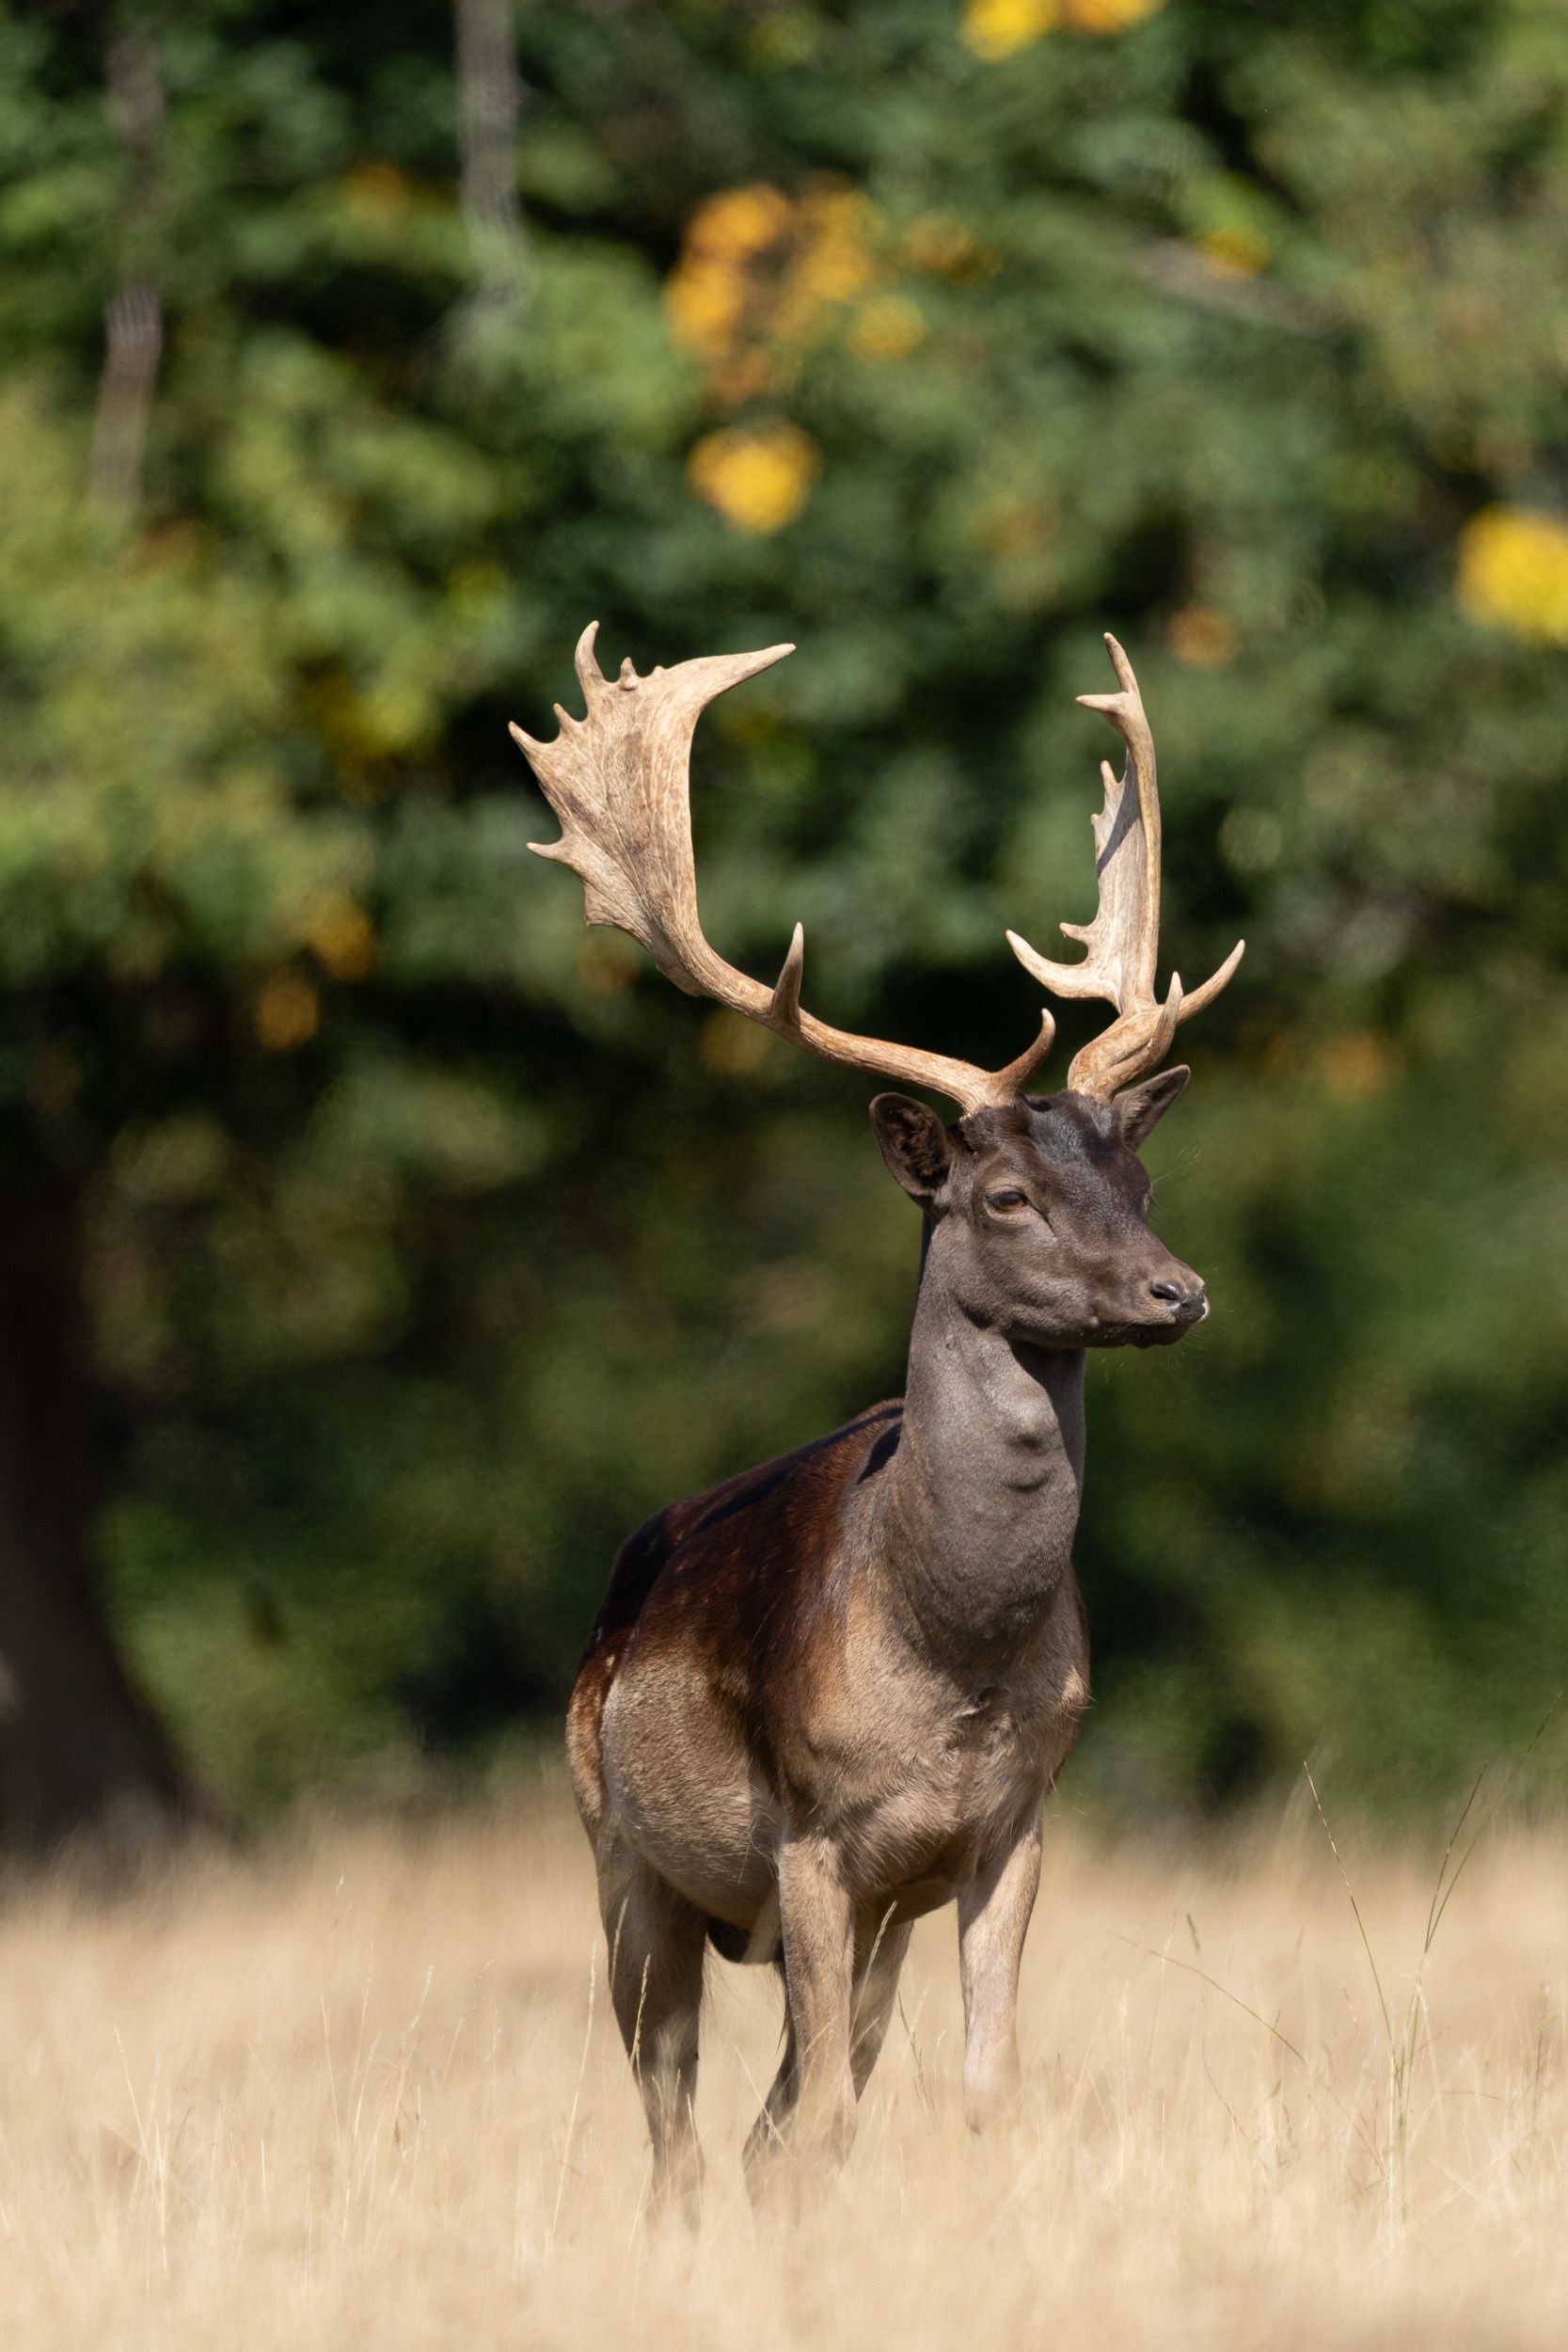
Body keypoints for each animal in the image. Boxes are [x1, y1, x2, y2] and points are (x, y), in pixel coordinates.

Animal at [512, 624, 1242, 2214]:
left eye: (1138, 1179)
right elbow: (828, 2122)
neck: (948, 1648)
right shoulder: (807, 1835)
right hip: (620, 1853)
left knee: (759, 2116)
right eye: (1003, 1195)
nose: (1176, 1291)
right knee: (671, 2119)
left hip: (860, 1924)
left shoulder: (1006, 1825)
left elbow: (976, 2093)